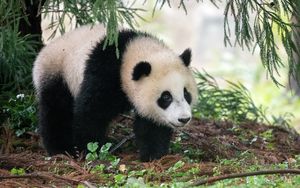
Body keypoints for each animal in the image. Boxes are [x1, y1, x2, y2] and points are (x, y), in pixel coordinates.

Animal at [32, 23, 198, 162]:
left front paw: (154, 154)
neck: (129, 52)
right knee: (56, 110)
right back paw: (61, 149)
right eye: (166, 97)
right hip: (58, 72)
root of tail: (43, 52)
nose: (184, 119)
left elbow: (152, 124)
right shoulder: (104, 72)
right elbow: (91, 111)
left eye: (186, 94)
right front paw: (90, 149)